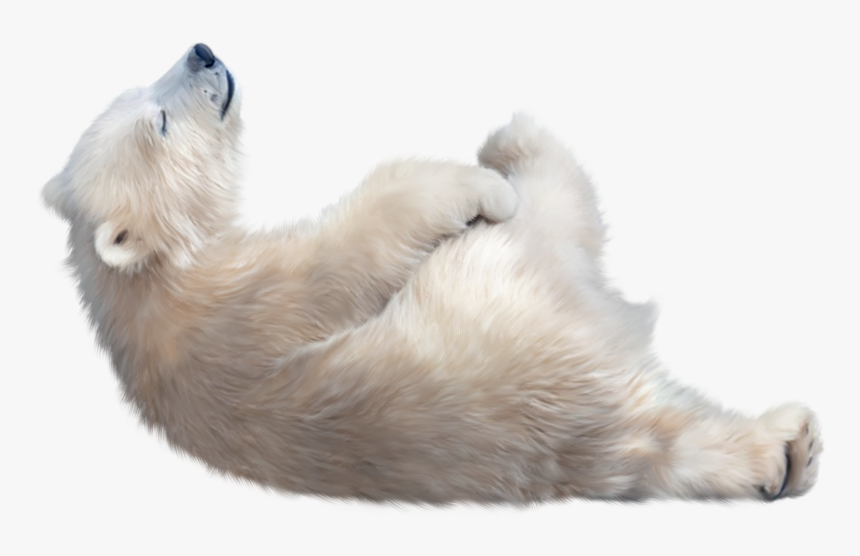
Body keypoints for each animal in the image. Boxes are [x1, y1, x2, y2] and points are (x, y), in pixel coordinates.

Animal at [43, 43, 820, 503]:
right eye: (159, 122)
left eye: (142, 87)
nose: (202, 50)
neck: (148, 286)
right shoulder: (247, 298)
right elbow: (363, 234)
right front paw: (479, 186)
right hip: (514, 274)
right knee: (557, 194)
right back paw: (511, 147)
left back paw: (790, 455)